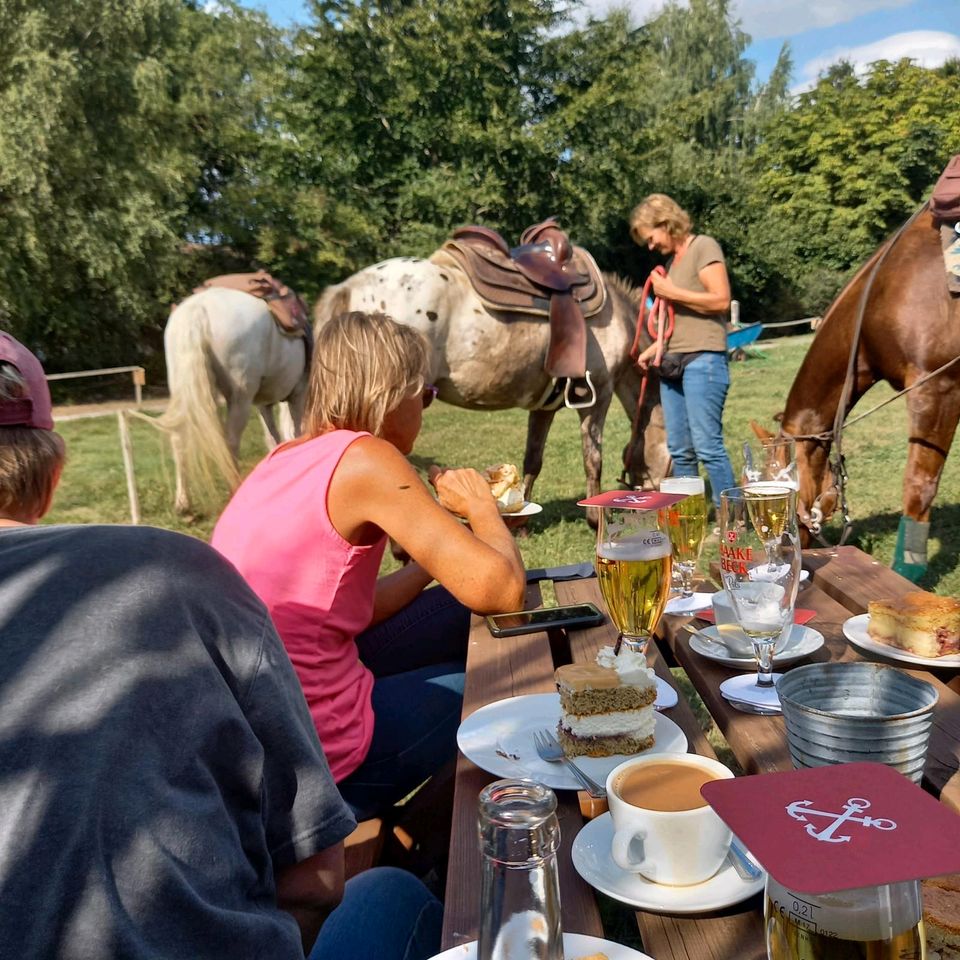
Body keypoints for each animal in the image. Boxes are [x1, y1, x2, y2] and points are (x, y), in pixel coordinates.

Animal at [162, 288, 308, 512]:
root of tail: (199, 308)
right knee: (230, 441)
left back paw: (183, 502)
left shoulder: (264, 404)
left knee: (179, 439)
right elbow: (295, 432)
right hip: (240, 398)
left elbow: (273, 437)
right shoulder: (297, 395)